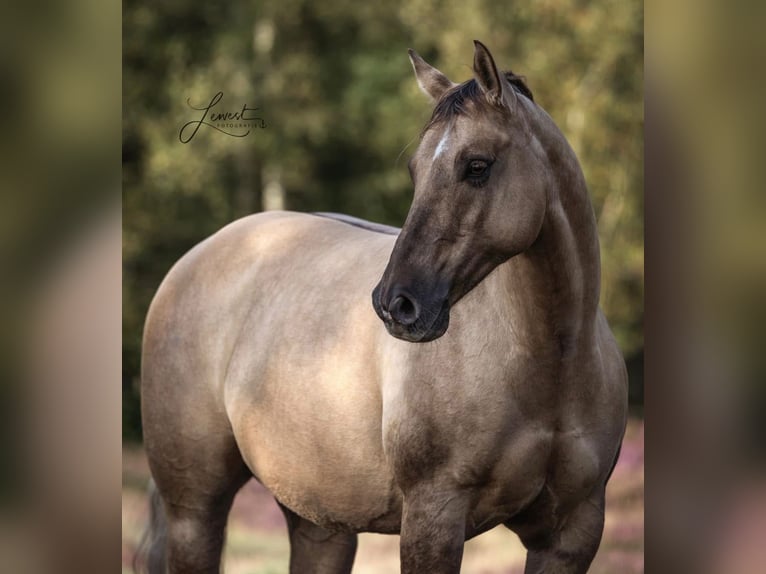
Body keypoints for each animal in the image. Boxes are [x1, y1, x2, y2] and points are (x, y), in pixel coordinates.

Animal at [138, 41, 628, 574]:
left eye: (477, 165)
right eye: (415, 169)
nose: (396, 304)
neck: (552, 361)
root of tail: (192, 260)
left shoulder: (571, 534)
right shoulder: (433, 519)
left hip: (319, 522)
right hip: (194, 512)